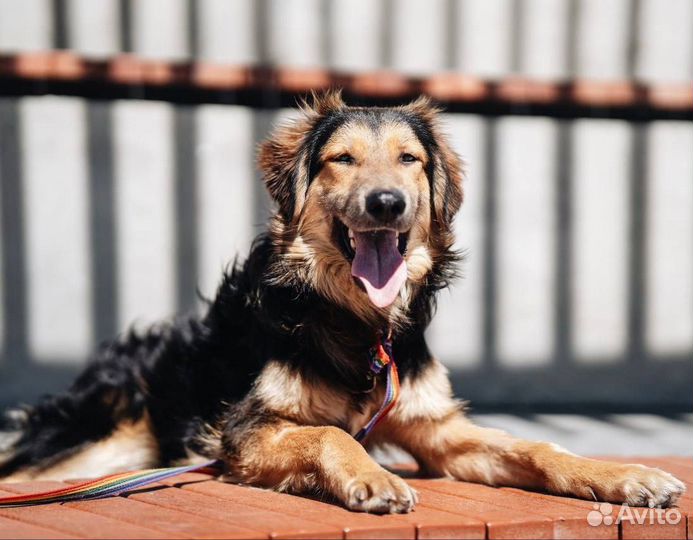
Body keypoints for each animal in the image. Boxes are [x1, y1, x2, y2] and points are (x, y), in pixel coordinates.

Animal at [0, 94, 680, 516]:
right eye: (342, 159)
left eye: (410, 159)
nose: (386, 203)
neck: (358, 323)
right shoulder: (244, 431)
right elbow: (328, 432)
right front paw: (372, 476)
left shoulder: (441, 432)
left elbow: (538, 448)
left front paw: (626, 476)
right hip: (91, 442)